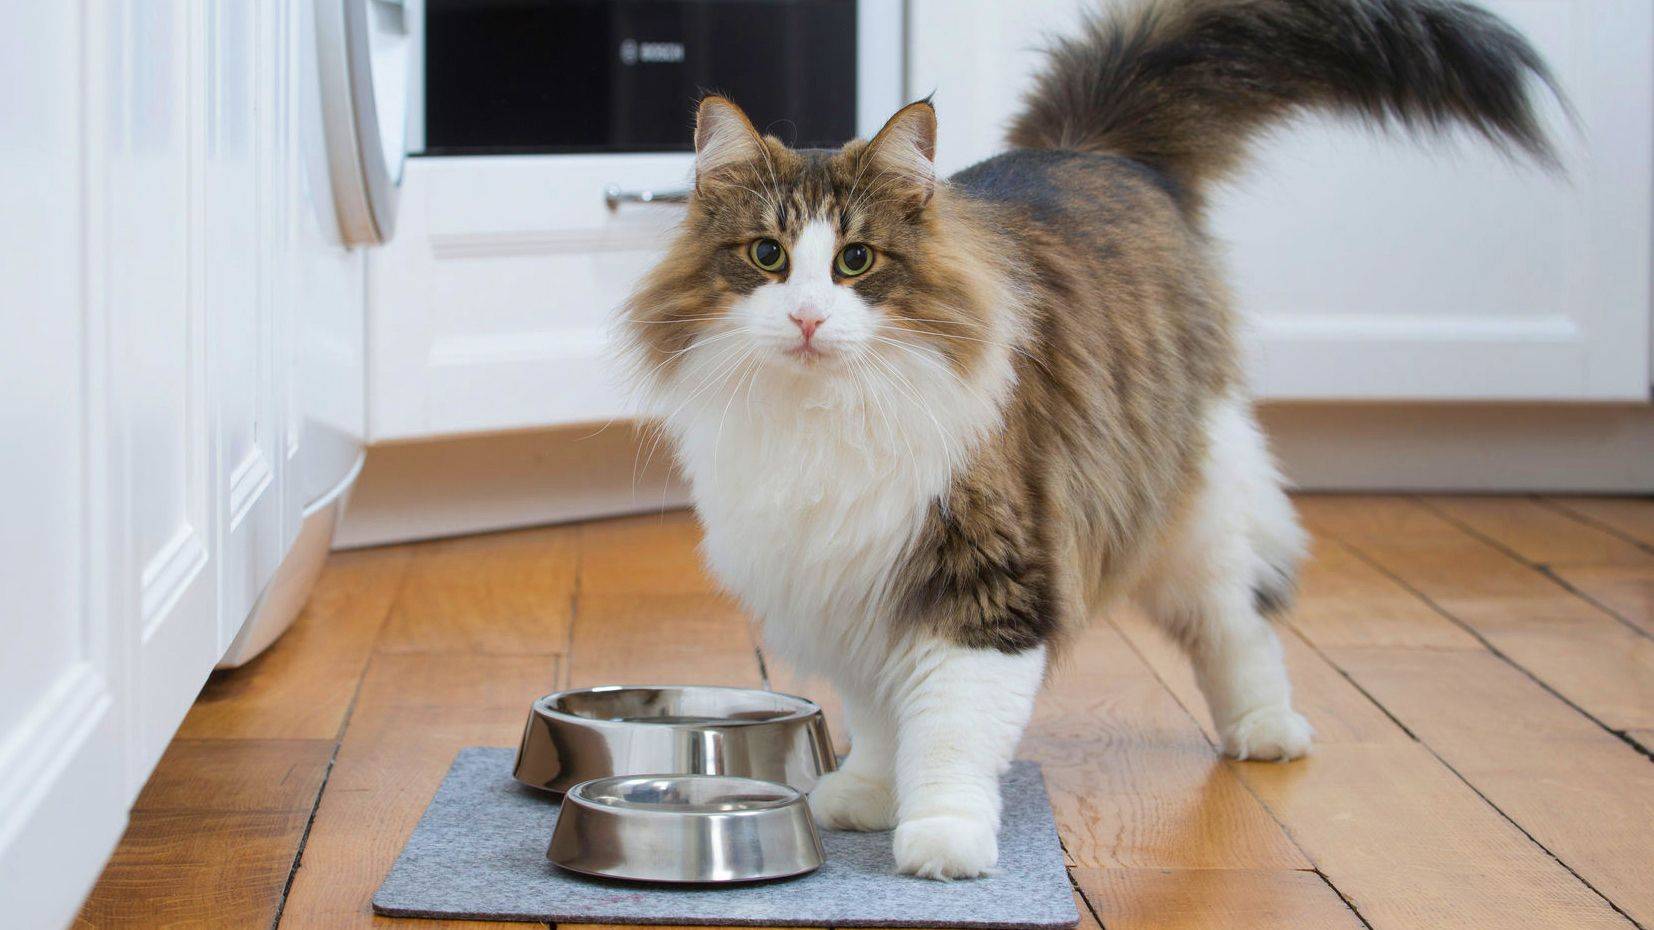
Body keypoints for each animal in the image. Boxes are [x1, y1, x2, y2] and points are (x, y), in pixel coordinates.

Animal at [615, 0, 1554, 873]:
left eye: (855, 262)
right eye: (768, 256)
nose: (808, 318)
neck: (823, 419)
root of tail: (1099, 152)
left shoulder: (987, 574)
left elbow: (950, 729)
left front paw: (942, 839)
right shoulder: (845, 576)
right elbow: (880, 714)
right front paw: (870, 793)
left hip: (1189, 508)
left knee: (1242, 617)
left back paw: (1265, 728)